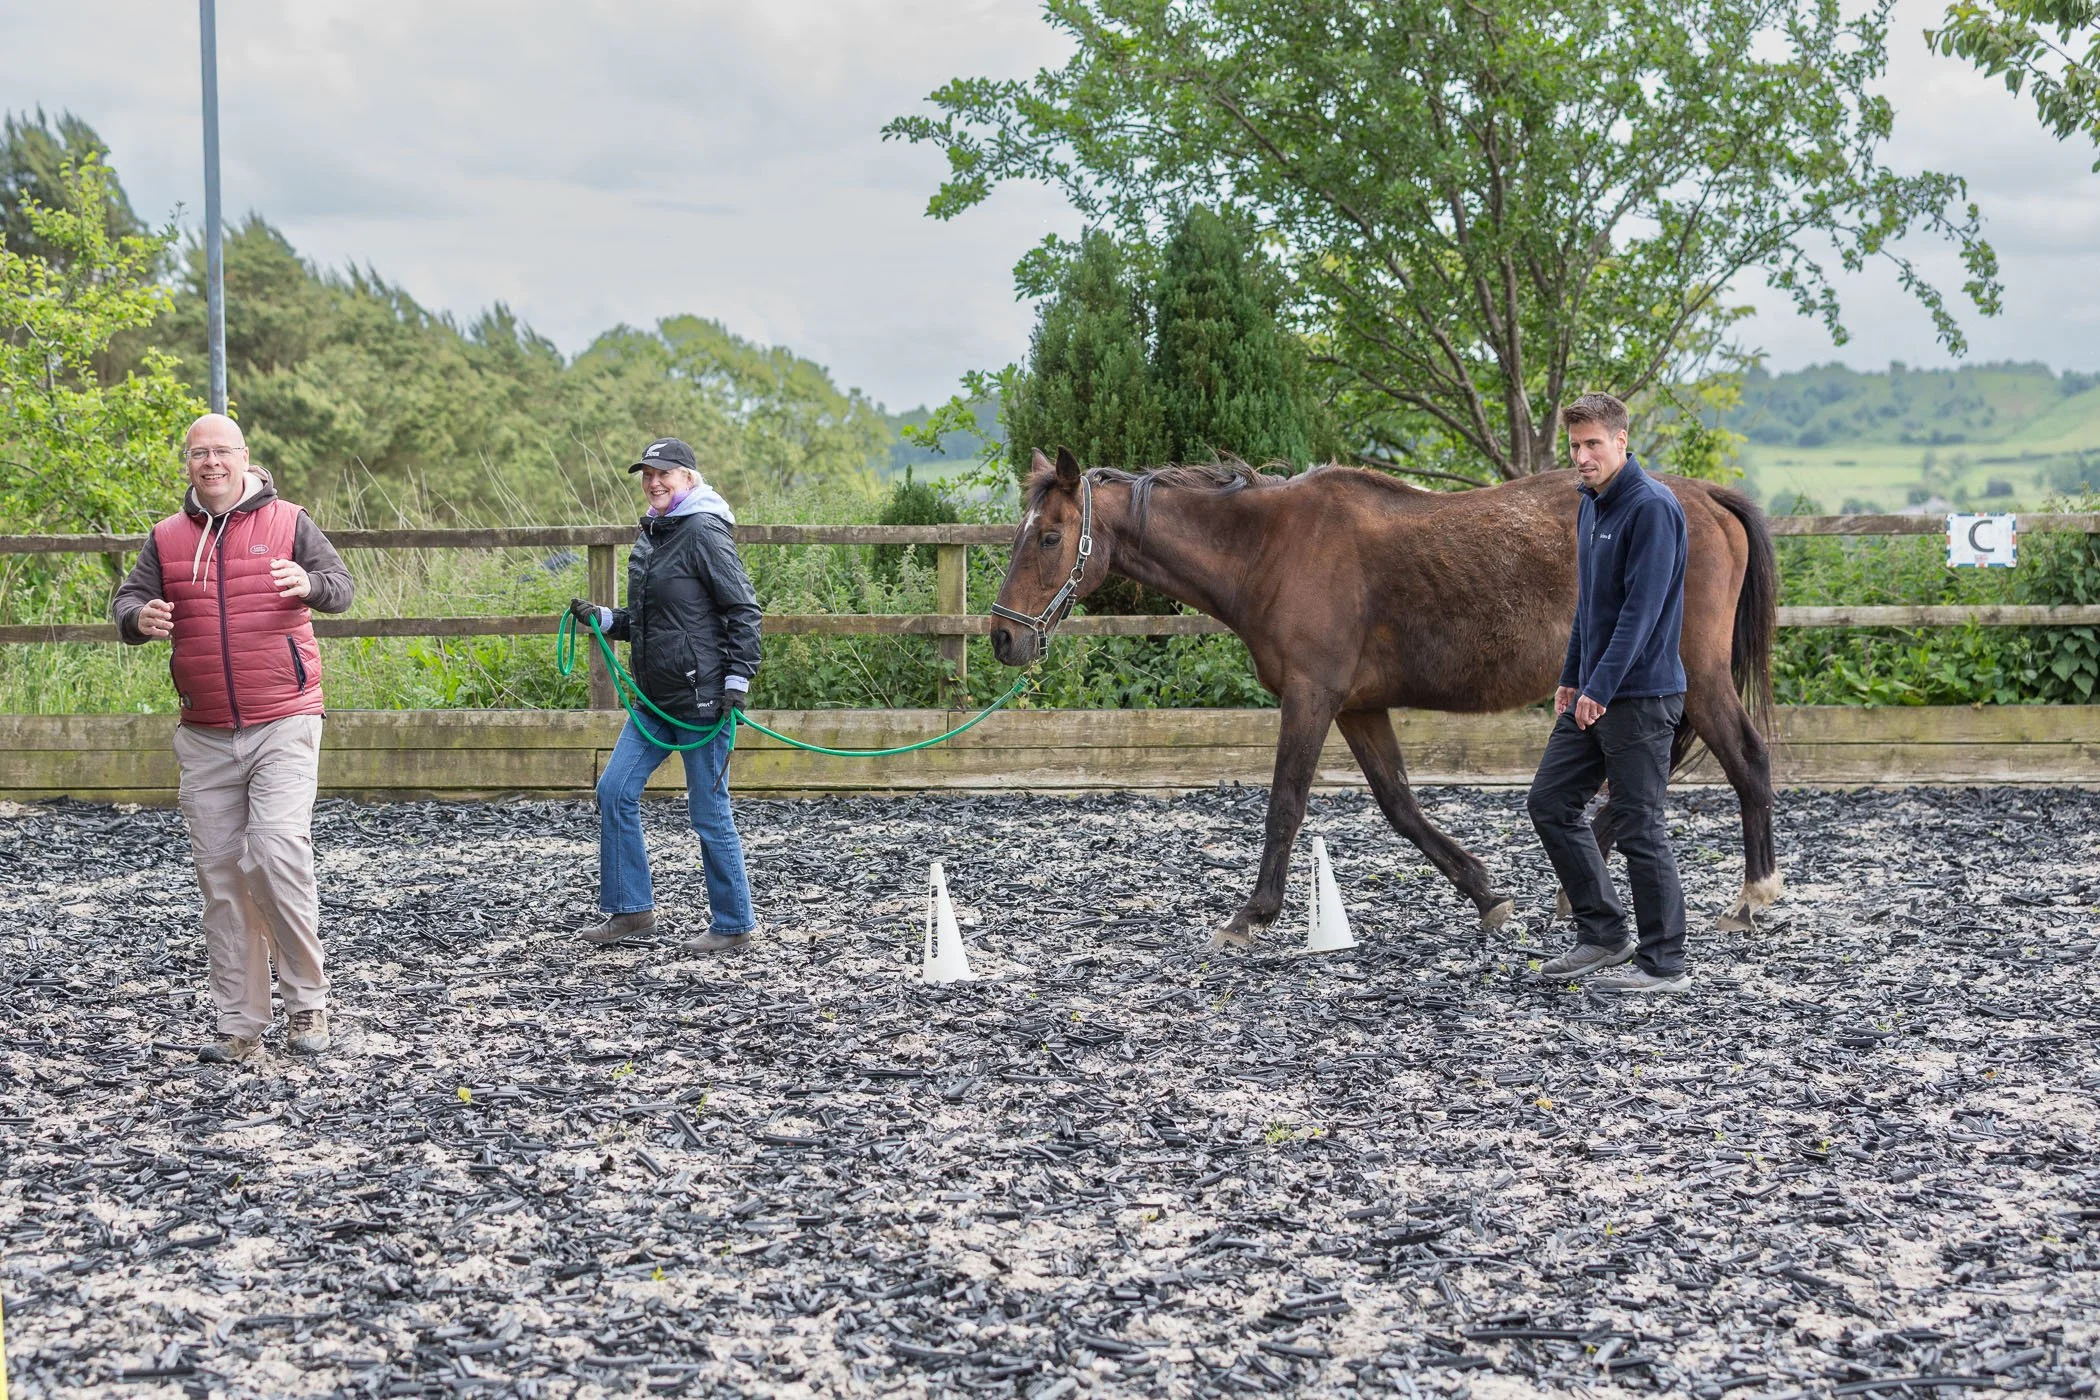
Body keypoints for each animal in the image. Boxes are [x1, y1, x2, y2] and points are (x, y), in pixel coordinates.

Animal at [989, 447, 1781, 949]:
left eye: (1051, 537)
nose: (1003, 638)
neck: (1269, 547)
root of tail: (1703, 497)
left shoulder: (1311, 697)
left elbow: (1285, 805)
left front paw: (1251, 917)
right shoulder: (1356, 706)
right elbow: (1400, 804)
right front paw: (1487, 895)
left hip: (1695, 674)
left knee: (1746, 760)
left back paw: (1751, 897)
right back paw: (1573, 889)